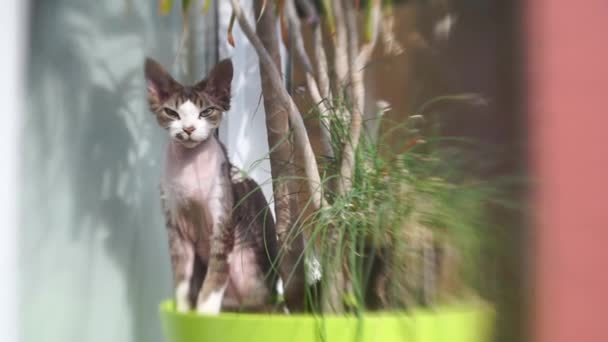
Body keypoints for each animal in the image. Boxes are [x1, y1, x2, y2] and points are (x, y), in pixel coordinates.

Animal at [146, 57, 280, 314]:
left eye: (206, 112)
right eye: (172, 112)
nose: (188, 129)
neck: (188, 169)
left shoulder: (222, 222)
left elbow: (216, 274)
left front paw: (205, 313)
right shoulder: (176, 228)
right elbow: (181, 278)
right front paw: (184, 311)